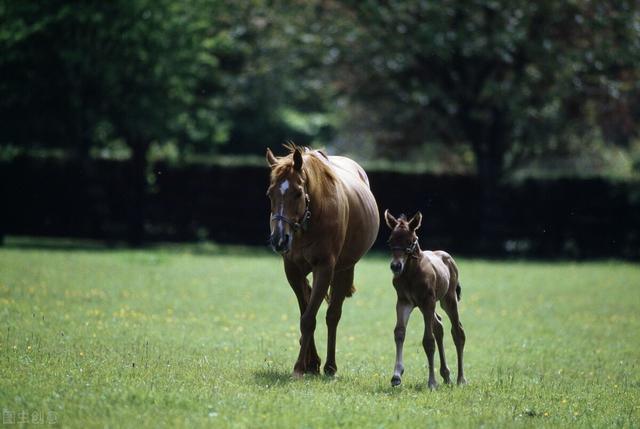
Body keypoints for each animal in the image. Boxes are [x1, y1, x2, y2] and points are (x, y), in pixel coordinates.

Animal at [382, 209, 468, 390]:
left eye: (410, 241)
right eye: (390, 241)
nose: (395, 266)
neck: (411, 274)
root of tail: (448, 256)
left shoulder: (427, 301)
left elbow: (428, 341)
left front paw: (432, 383)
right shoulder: (404, 302)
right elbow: (399, 332)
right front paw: (396, 376)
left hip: (447, 300)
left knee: (457, 331)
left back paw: (460, 380)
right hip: (426, 306)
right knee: (439, 326)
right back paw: (446, 375)